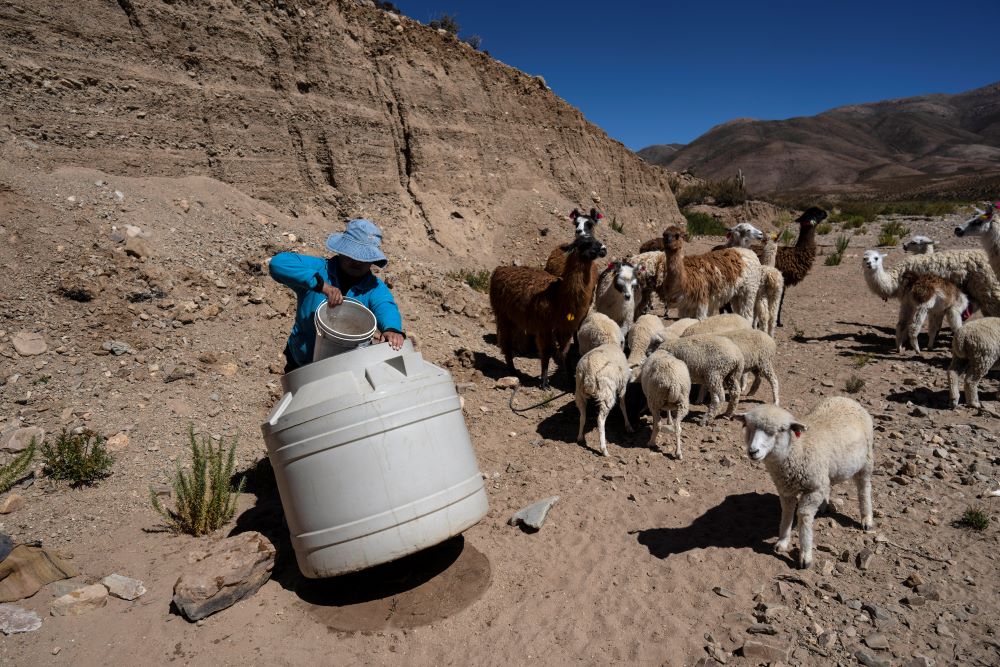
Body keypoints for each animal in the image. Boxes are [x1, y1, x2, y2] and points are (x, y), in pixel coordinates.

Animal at [490, 234, 604, 386]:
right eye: (585, 243)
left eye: (596, 240)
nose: (603, 250)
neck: (558, 297)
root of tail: (499, 270)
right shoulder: (545, 326)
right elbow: (546, 352)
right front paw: (544, 381)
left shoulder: (565, 328)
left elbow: (565, 353)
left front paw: (571, 379)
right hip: (503, 315)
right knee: (506, 343)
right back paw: (512, 370)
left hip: (515, 317)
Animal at [736, 400, 876, 572]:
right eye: (748, 427)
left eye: (780, 430)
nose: (753, 451)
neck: (798, 448)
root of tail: (847, 400)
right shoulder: (786, 489)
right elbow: (787, 512)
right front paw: (782, 541)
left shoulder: (813, 490)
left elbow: (803, 516)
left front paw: (805, 555)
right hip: (827, 471)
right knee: (829, 485)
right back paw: (823, 506)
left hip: (866, 461)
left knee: (864, 488)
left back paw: (867, 519)